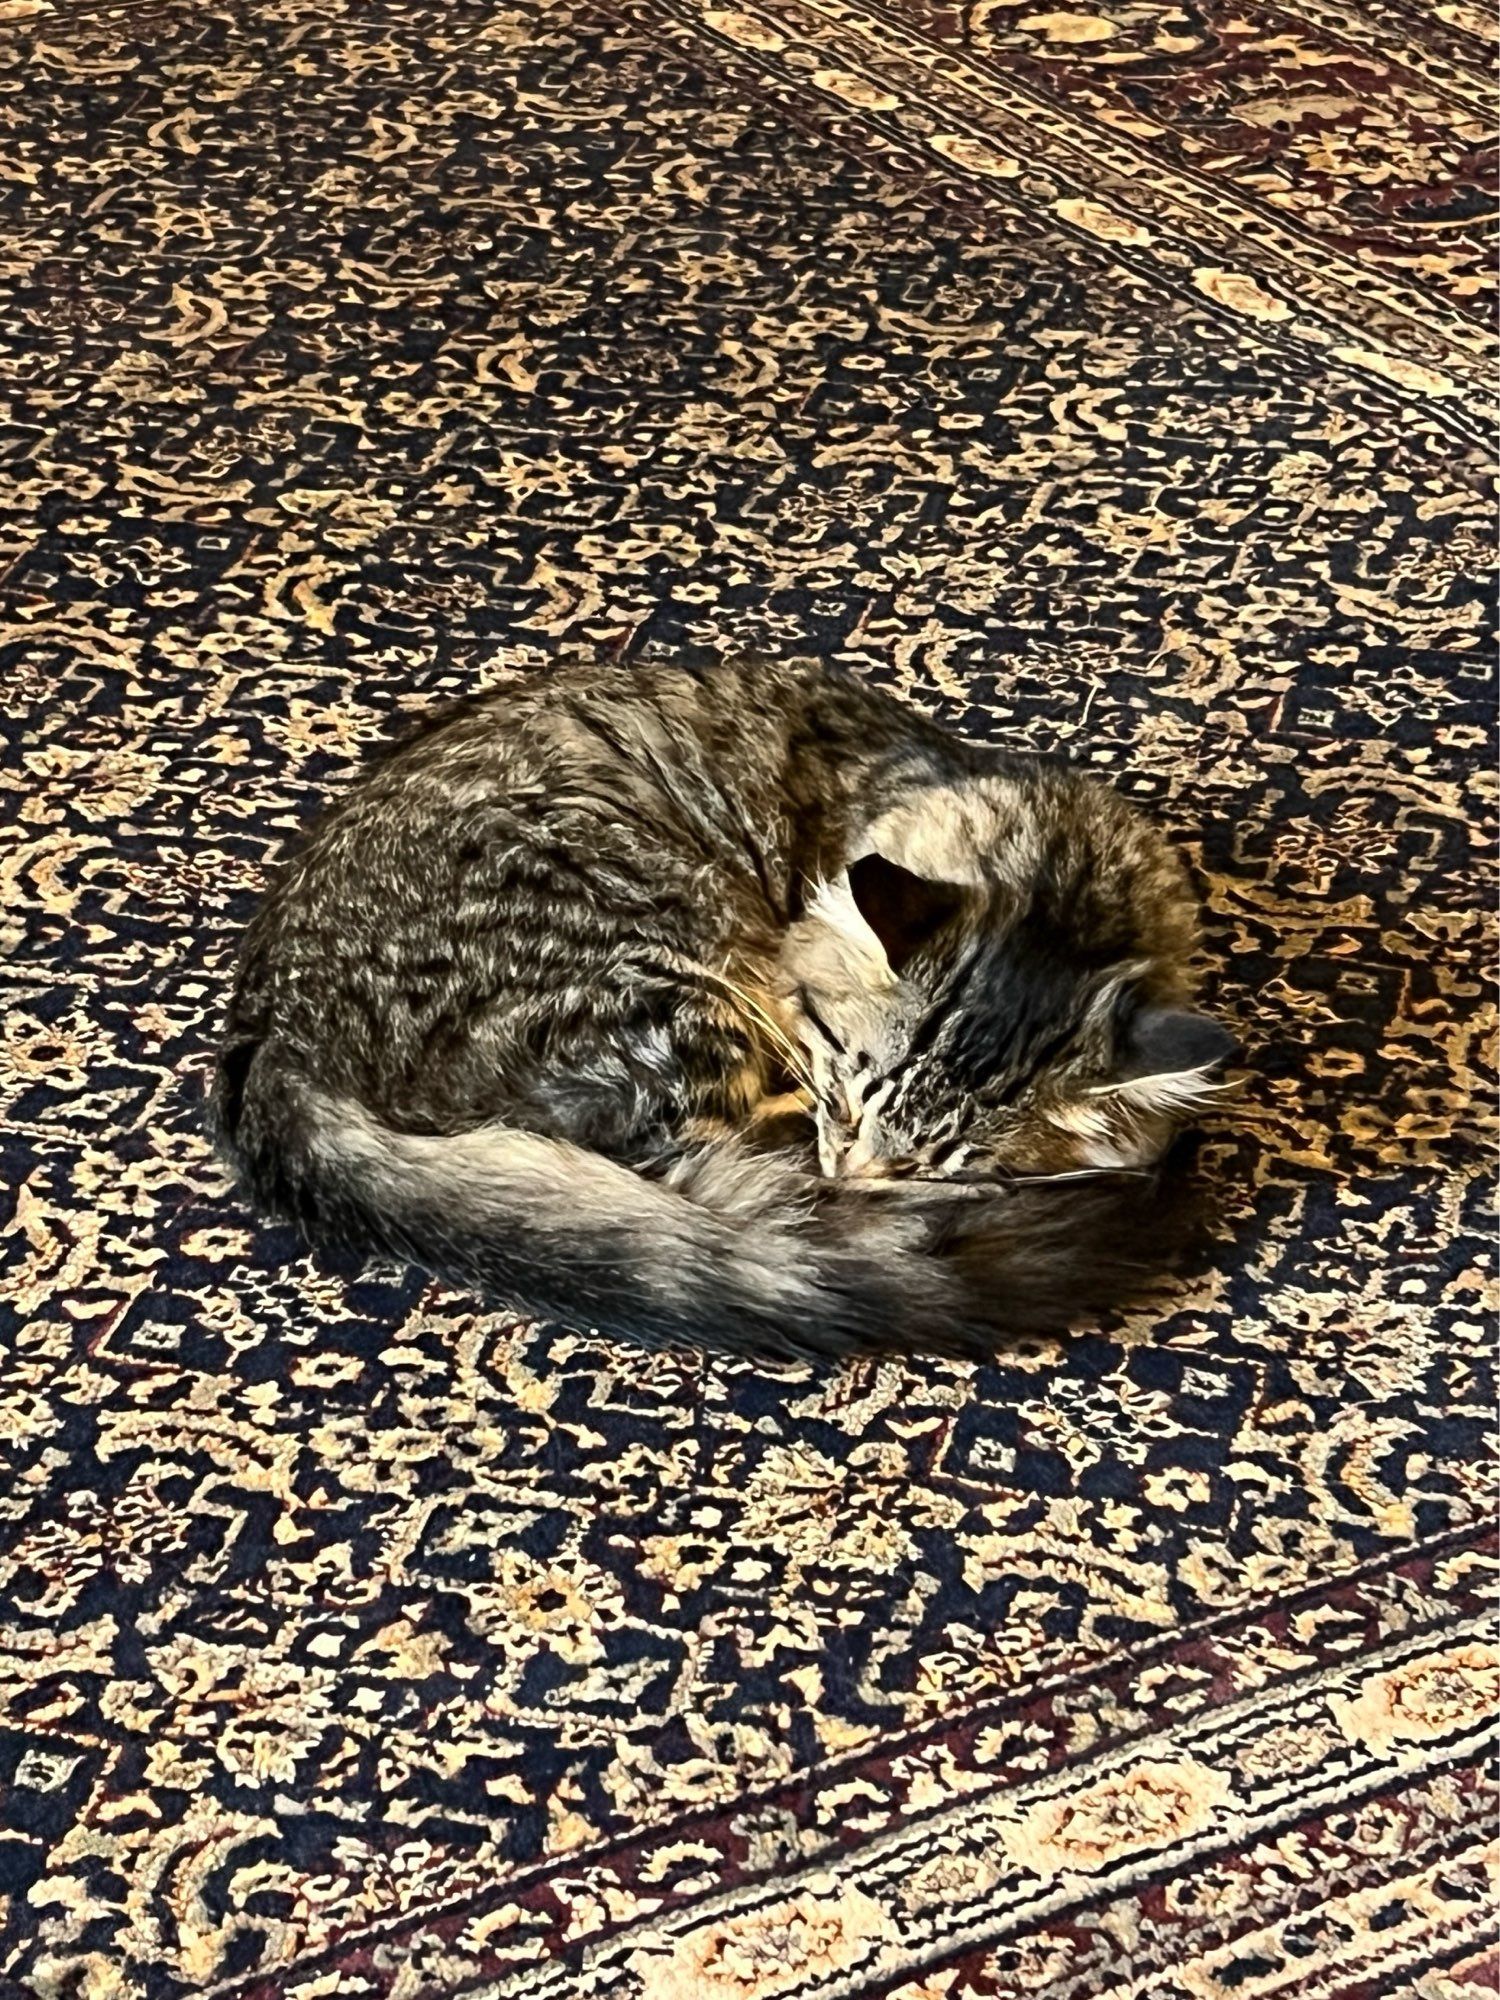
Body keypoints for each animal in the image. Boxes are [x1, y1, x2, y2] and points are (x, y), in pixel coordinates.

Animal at [214, 656, 1248, 1360]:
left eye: (929, 1148)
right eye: (847, 1098)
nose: (849, 1166)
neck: (1070, 885)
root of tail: (274, 1038)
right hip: (668, 982)